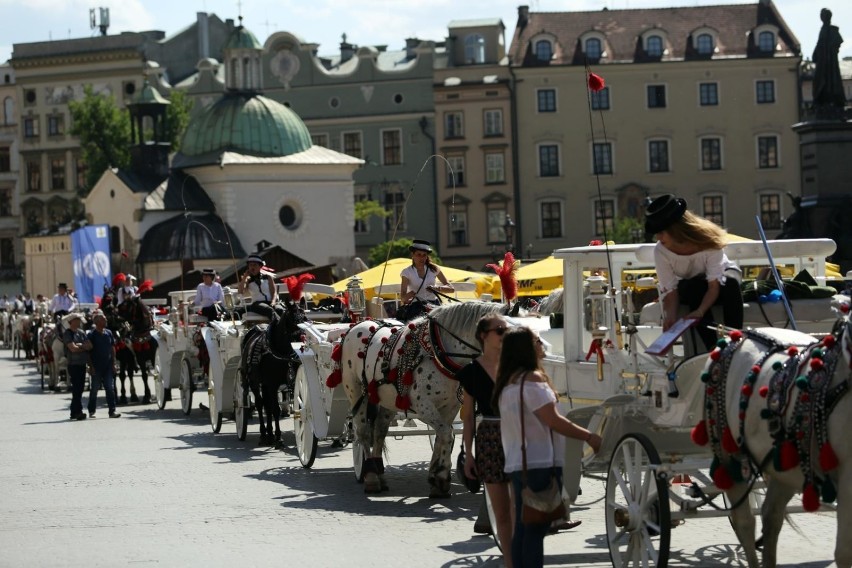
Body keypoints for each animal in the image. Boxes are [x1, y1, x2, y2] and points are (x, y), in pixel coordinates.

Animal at [240, 300, 306, 446]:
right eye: (293, 320)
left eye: (305, 318)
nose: (303, 340)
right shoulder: (272, 384)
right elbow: (276, 409)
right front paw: (279, 437)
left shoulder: (289, 382)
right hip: (254, 382)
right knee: (260, 405)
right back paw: (264, 435)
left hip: (264, 384)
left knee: (266, 405)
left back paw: (270, 434)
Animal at [332, 302, 506, 496]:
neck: (439, 351)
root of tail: (356, 325)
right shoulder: (422, 405)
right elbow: (447, 434)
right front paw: (441, 477)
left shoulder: (450, 406)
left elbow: (443, 435)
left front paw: (436, 477)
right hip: (356, 392)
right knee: (362, 432)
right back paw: (371, 477)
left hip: (388, 399)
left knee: (379, 431)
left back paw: (380, 474)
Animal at [700, 310, 852, 568]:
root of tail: (737, 334)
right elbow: (844, 552)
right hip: (729, 455)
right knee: (745, 522)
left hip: (784, 463)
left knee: (771, 516)